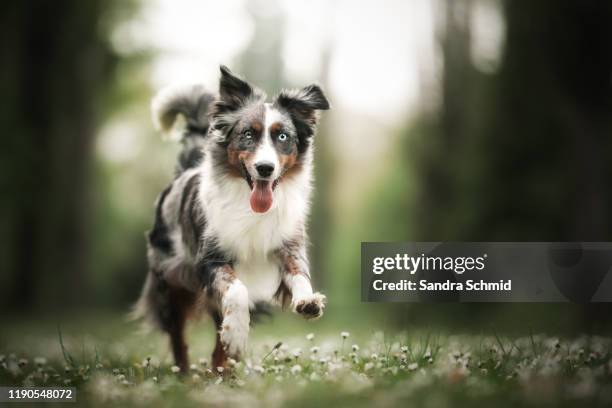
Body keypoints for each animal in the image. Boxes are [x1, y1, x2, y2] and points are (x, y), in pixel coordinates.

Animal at [134, 65, 330, 372]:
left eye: (282, 137)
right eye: (248, 134)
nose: (265, 168)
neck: (249, 205)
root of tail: (184, 171)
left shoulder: (288, 244)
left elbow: (300, 273)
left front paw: (308, 301)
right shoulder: (209, 259)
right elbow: (237, 292)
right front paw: (237, 336)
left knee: (216, 340)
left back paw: (222, 371)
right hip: (171, 279)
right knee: (178, 333)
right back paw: (184, 373)